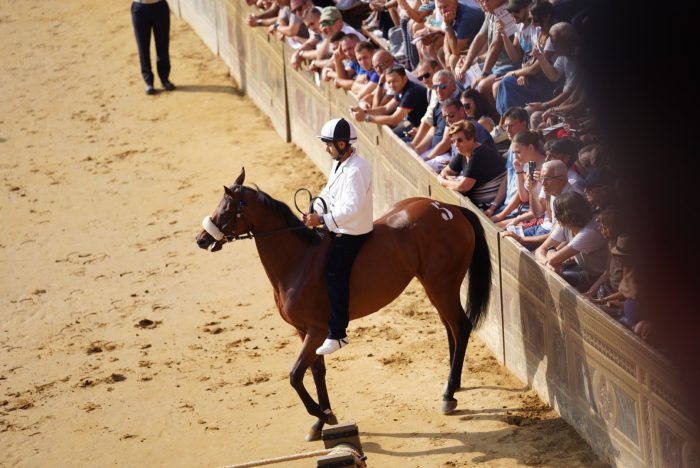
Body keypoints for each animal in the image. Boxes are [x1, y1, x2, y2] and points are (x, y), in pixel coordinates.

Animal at [197, 169, 492, 442]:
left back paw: (449, 393)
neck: (298, 260)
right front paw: (322, 420)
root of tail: (450, 209)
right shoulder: (303, 331)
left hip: (442, 285)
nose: (201, 239)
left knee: (461, 326)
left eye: (226, 209)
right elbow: (316, 372)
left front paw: (322, 415)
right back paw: (452, 384)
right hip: (434, 287)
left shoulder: (316, 331)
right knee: (450, 327)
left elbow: (295, 375)